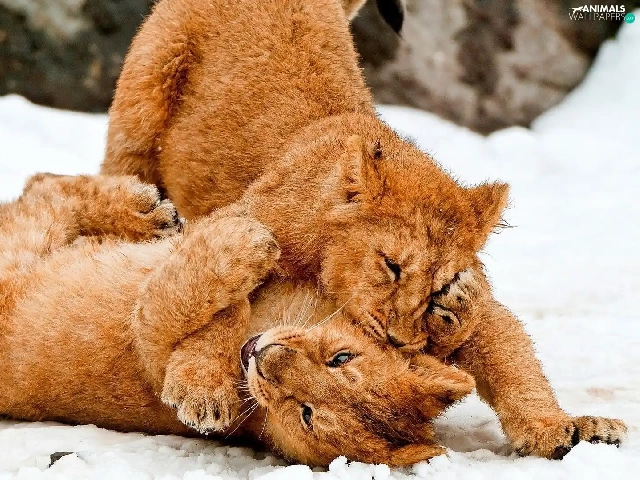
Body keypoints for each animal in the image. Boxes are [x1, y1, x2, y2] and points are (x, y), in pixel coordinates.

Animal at [0, 173, 475, 467]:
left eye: (307, 413)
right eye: (341, 358)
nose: (266, 358)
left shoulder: (147, 347)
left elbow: (172, 301)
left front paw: (246, 245)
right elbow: (224, 306)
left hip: (21, 251)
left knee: (42, 199)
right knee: (42, 185)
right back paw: (150, 210)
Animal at [101, 0, 627, 458]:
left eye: (436, 289)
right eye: (391, 266)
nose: (398, 339)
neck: (321, 260)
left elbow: (512, 359)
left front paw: (557, 429)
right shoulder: (237, 224)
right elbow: (224, 307)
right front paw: (203, 390)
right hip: (144, 98)